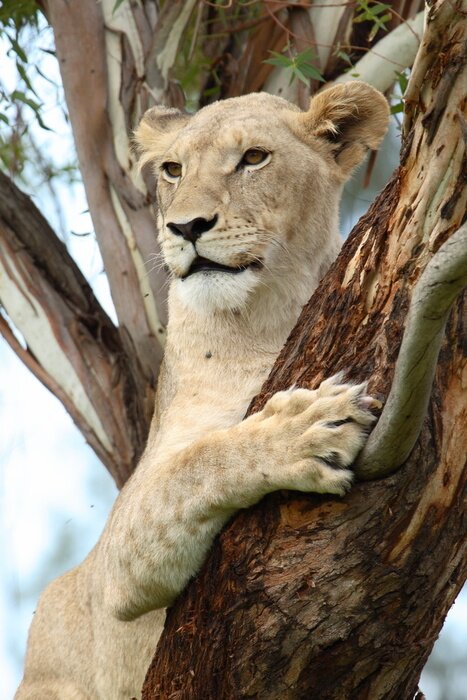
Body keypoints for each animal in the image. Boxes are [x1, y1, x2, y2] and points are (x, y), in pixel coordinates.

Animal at [16, 82, 389, 699]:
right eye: (173, 169)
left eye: (254, 158)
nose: (186, 227)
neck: (261, 320)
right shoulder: (116, 564)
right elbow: (202, 461)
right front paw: (305, 431)